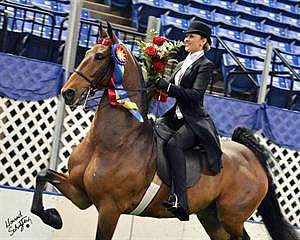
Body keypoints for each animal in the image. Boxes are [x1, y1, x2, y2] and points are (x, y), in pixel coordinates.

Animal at [29, 21, 298, 240]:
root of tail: (250, 155)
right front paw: (53, 217)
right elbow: (42, 175)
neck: (112, 142)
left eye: (100, 56)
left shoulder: (109, 208)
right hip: (212, 218)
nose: (68, 92)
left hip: (231, 217)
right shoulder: (81, 194)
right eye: (86, 52)